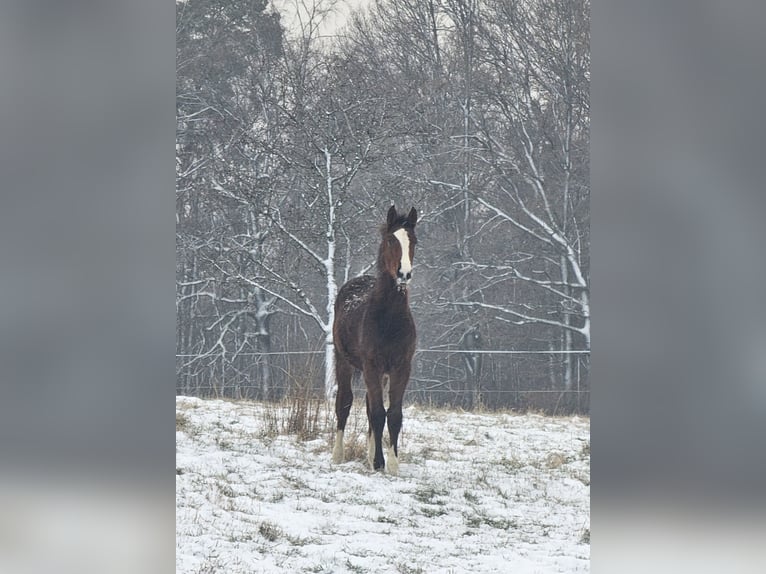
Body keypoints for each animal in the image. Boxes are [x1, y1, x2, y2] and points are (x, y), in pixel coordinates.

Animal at [332, 205, 420, 474]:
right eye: (391, 240)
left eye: (414, 241)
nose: (404, 273)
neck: (389, 320)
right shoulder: (372, 366)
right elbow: (379, 413)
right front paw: (380, 462)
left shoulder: (401, 367)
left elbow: (393, 414)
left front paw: (391, 464)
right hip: (344, 362)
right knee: (344, 403)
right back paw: (337, 455)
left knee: (371, 408)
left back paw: (370, 456)